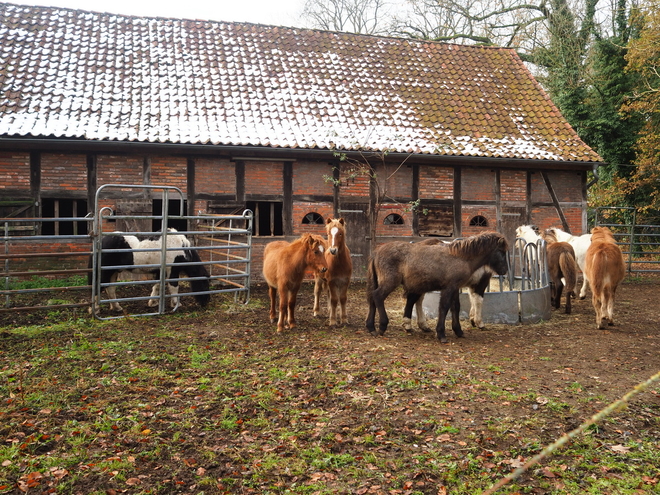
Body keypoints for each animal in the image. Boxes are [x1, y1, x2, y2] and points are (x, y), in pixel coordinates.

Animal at [364, 232, 508, 340]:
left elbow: (455, 307)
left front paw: (458, 331)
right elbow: (444, 308)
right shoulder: (450, 288)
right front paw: (441, 334)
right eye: (501, 251)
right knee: (378, 296)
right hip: (390, 282)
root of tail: (376, 252)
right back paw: (383, 326)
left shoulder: (455, 288)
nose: (505, 270)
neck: (460, 257)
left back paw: (371, 328)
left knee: (373, 299)